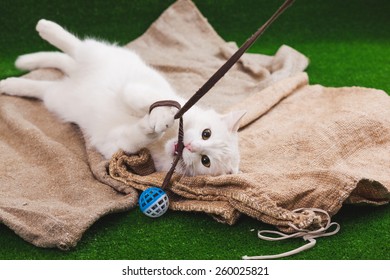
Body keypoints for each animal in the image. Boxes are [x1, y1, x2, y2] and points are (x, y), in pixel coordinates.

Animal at [0, 19, 245, 176]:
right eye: (206, 133)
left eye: (206, 161)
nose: (191, 147)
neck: (165, 141)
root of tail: (76, 77)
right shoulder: (147, 90)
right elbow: (143, 98)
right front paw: (161, 117)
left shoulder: (118, 145)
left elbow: (134, 138)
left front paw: (149, 128)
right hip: (96, 55)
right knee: (74, 47)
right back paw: (44, 30)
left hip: (57, 97)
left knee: (48, 80)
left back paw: (10, 81)